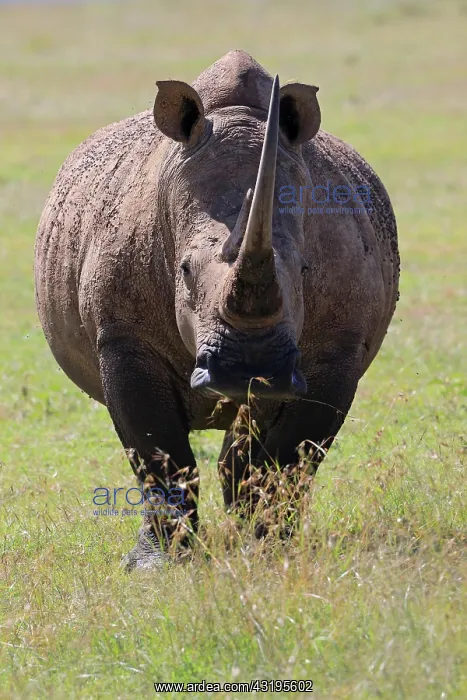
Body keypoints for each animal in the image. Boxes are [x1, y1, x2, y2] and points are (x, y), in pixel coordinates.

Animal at [35, 50, 399, 569]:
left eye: (306, 269)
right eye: (184, 270)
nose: (247, 370)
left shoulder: (338, 349)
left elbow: (293, 454)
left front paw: (269, 549)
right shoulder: (123, 338)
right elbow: (157, 451)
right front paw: (159, 564)